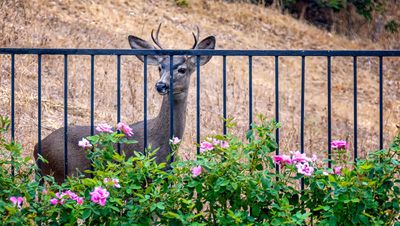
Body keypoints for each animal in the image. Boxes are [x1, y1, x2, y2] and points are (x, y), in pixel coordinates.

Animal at [34, 24, 216, 184]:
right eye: (160, 67)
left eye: (182, 69)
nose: (161, 85)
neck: (160, 140)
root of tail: (37, 148)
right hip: (66, 173)